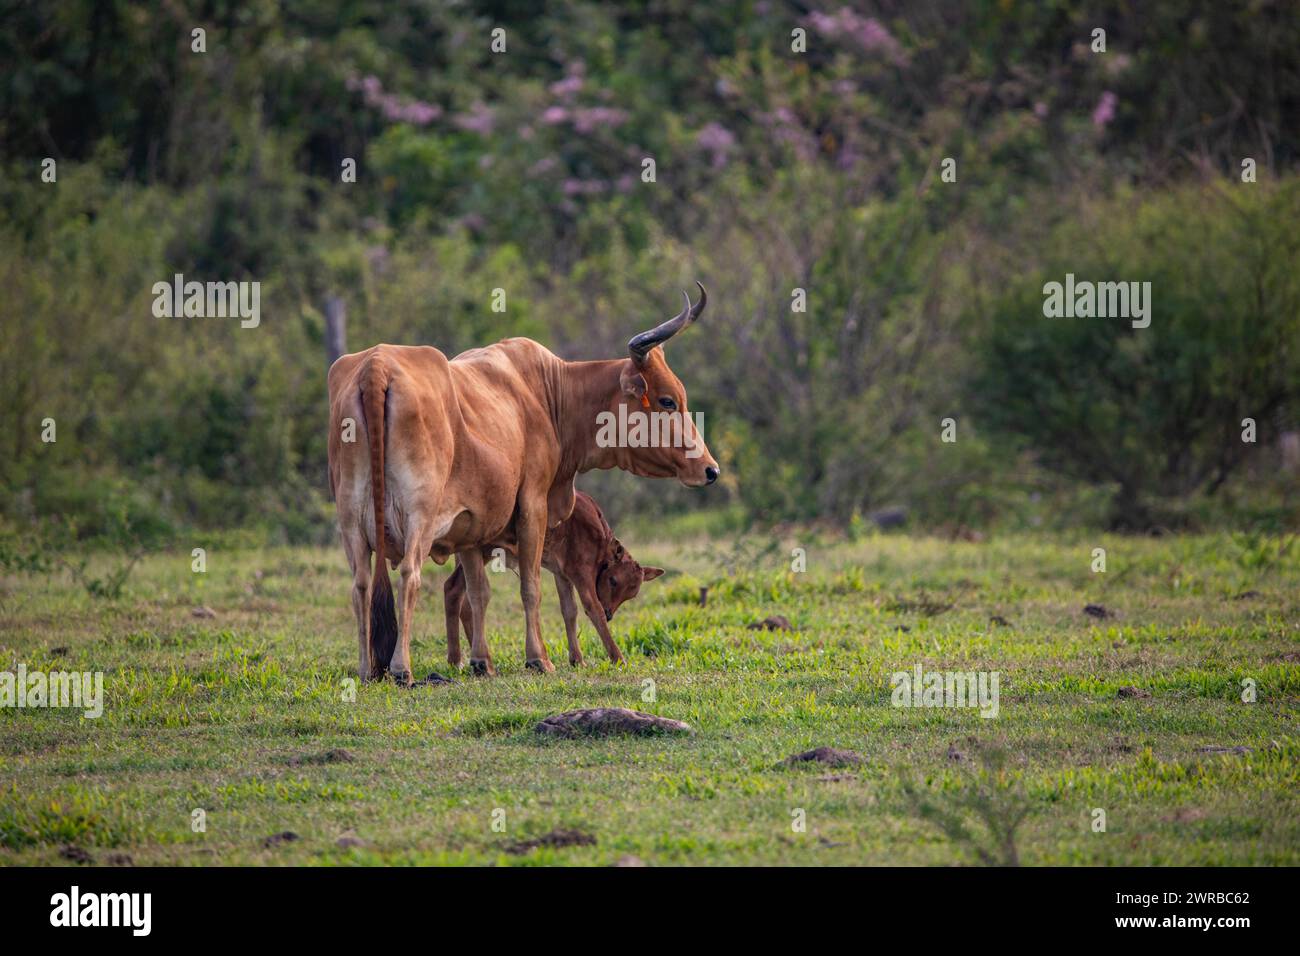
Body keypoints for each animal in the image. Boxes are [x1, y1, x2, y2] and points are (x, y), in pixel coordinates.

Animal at [444, 494, 665, 665]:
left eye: (631, 595)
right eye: (613, 580)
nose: (610, 613)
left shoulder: (562, 574)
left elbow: (569, 611)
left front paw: (577, 659)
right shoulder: (581, 574)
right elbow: (594, 610)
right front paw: (618, 658)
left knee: (460, 596)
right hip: (481, 550)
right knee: (455, 588)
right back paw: (460, 659)